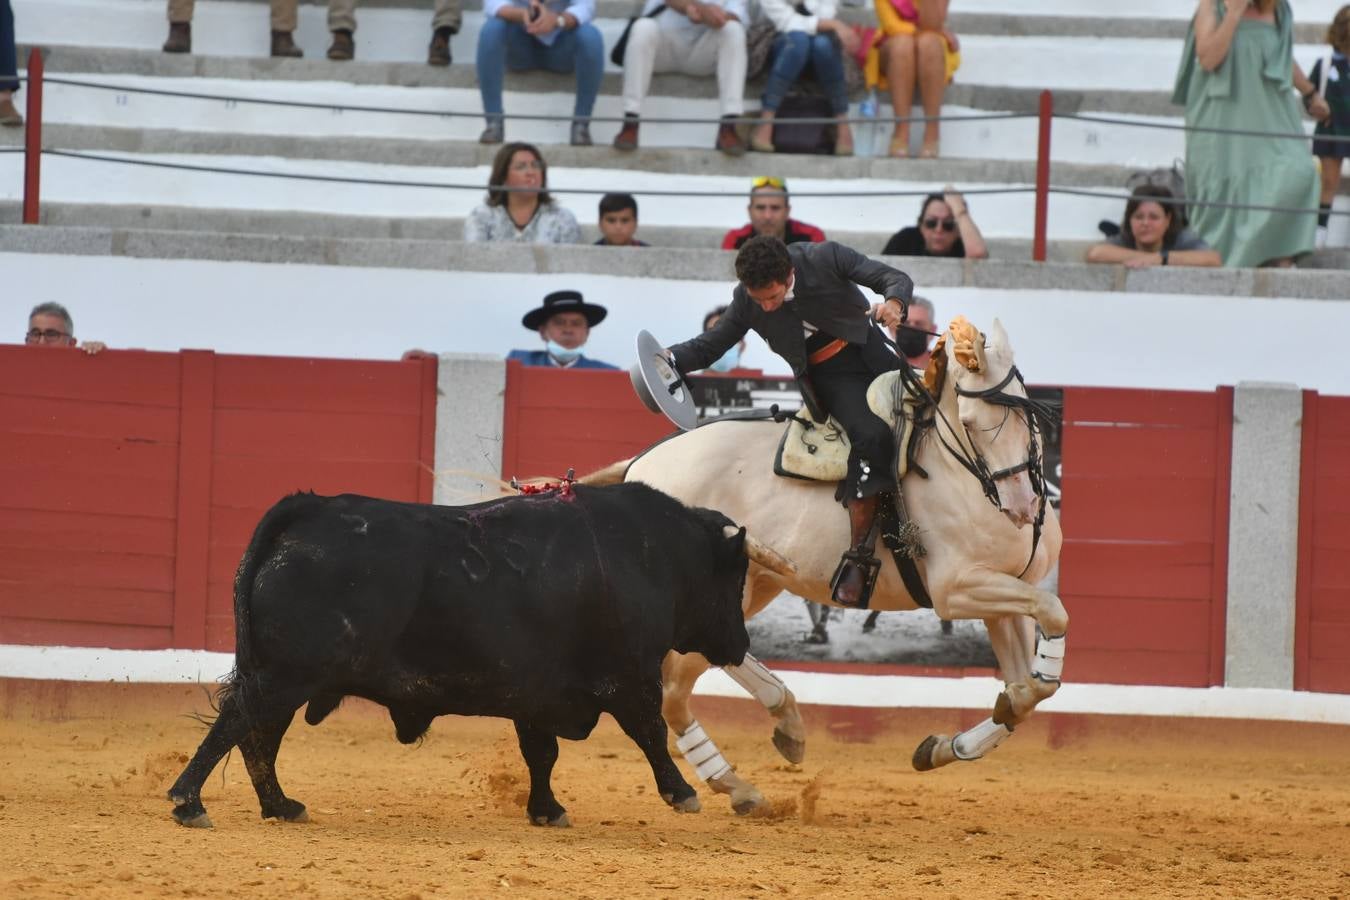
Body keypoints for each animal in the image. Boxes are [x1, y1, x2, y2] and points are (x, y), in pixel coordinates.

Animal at [167, 485, 756, 831]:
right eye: (735, 579)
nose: (741, 644)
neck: (654, 555)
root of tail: (310, 506)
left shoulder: (534, 693)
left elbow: (541, 754)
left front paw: (546, 811)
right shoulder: (630, 678)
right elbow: (650, 732)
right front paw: (682, 793)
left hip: (286, 676)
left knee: (257, 735)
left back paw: (280, 806)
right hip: (287, 673)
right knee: (239, 723)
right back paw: (190, 802)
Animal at [585, 318, 1069, 814]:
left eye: (1027, 414)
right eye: (969, 423)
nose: (1021, 506)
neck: (955, 469)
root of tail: (642, 465)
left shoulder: (1009, 595)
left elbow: (1026, 689)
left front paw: (940, 747)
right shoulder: (955, 590)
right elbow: (1054, 616)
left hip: (755, 583)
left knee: (704, 670)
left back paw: (772, 742)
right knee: (677, 690)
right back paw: (751, 766)